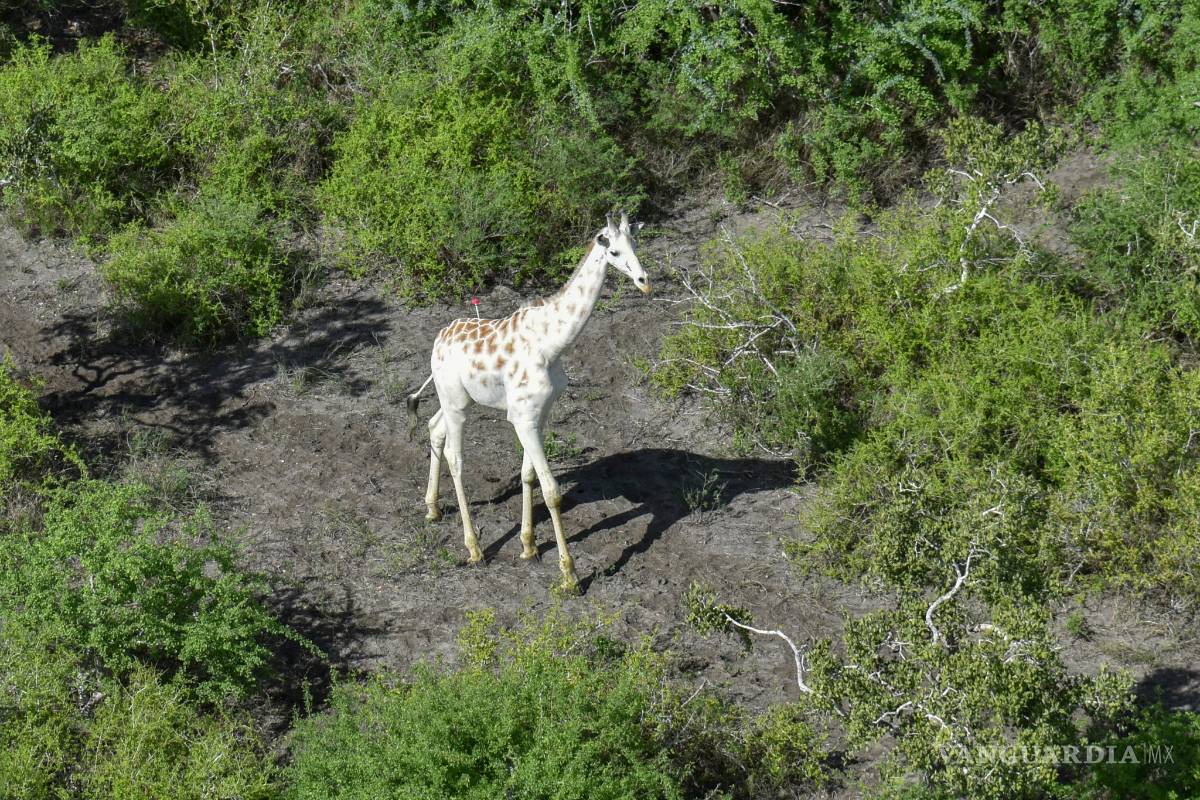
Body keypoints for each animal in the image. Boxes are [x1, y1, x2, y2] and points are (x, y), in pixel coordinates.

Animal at [406, 212, 650, 591]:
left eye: (635, 243)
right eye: (612, 250)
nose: (644, 281)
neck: (552, 344)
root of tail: (437, 340)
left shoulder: (539, 414)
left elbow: (528, 475)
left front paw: (529, 546)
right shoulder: (523, 416)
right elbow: (552, 491)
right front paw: (570, 575)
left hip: (458, 399)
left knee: (434, 428)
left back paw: (432, 508)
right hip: (456, 403)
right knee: (456, 458)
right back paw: (474, 549)